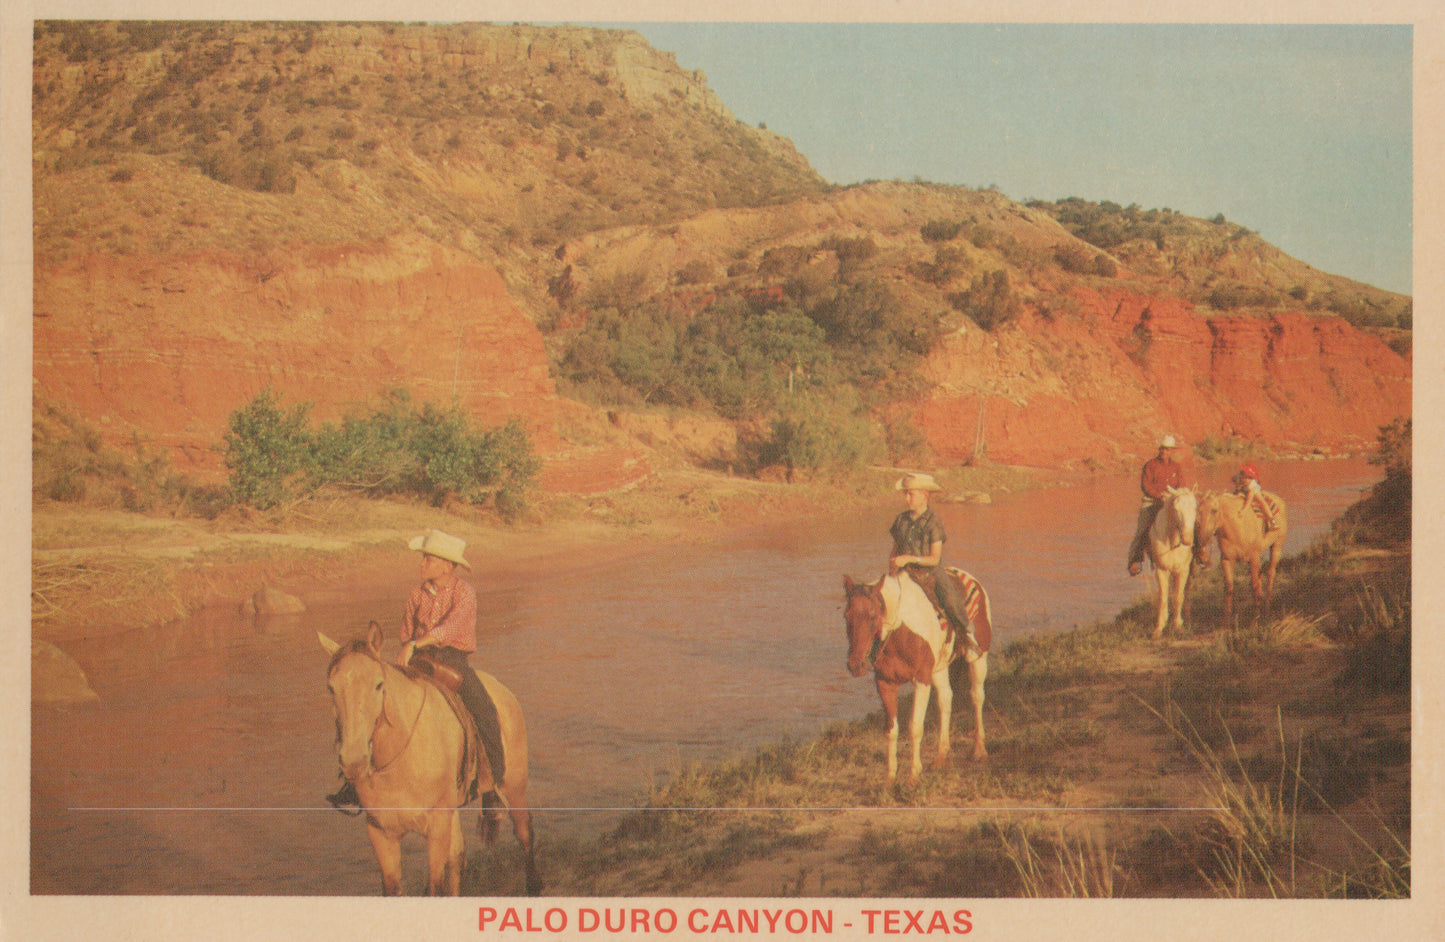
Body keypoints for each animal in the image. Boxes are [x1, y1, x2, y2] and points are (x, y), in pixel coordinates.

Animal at [319, 621, 540, 895]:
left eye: (378, 684)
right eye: (331, 687)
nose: (353, 761)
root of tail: (502, 689)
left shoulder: (437, 827)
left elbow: (436, 885)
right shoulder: (380, 832)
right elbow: (394, 888)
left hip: (514, 787)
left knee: (524, 832)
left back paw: (534, 885)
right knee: (457, 858)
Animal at [843, 569, 988, 785]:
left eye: (872, 615)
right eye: (847, 616)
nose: (855, 665)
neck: (900, 631)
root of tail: (973, 580)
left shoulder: (921, 680)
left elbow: (915, 727)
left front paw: (913, 775)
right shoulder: (885, 683)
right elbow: (891, 729)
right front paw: (890, 776)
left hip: (978, 659)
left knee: (977, 697)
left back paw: (979, 750)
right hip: (938, 670)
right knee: (945, 700)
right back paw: (940, 757)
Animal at [1144, 485, 1190, 641]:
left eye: (1194, 507)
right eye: (1176, 509)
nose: (1187, 538)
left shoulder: (1182, 570)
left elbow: (1178, 596)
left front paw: (1178, 626)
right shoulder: (1161, 570)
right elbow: (1163, 598)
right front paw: (1158, 628)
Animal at [1196, 485, 1288, 624]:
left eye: (1214, 510)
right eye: (1199, 511)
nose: (1202, 540)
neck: (1236, 528)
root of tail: (1279, 500)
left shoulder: (1254, 558)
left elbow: (1254, 586)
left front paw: (1256, 619)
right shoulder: (1227, 560)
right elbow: (1229, 588)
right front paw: (1226, 621)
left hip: (1276, 546)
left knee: (1271, 573)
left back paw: (1267, 607)